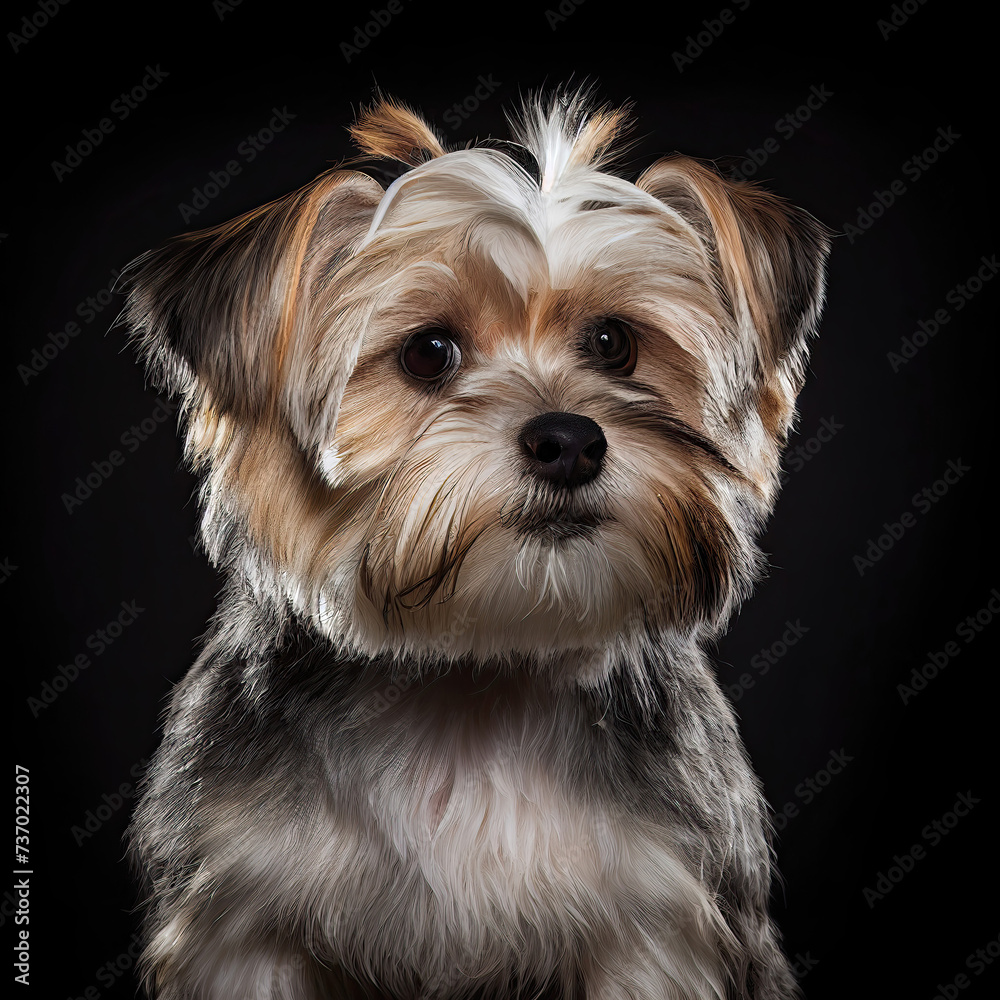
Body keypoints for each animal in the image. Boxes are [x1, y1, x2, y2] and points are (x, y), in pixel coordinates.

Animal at [123, 88, 828, 1000]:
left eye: (615, 342)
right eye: (428, 352)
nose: (569, 441)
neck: (476, 679)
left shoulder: (659, 925)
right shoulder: (240, 922)